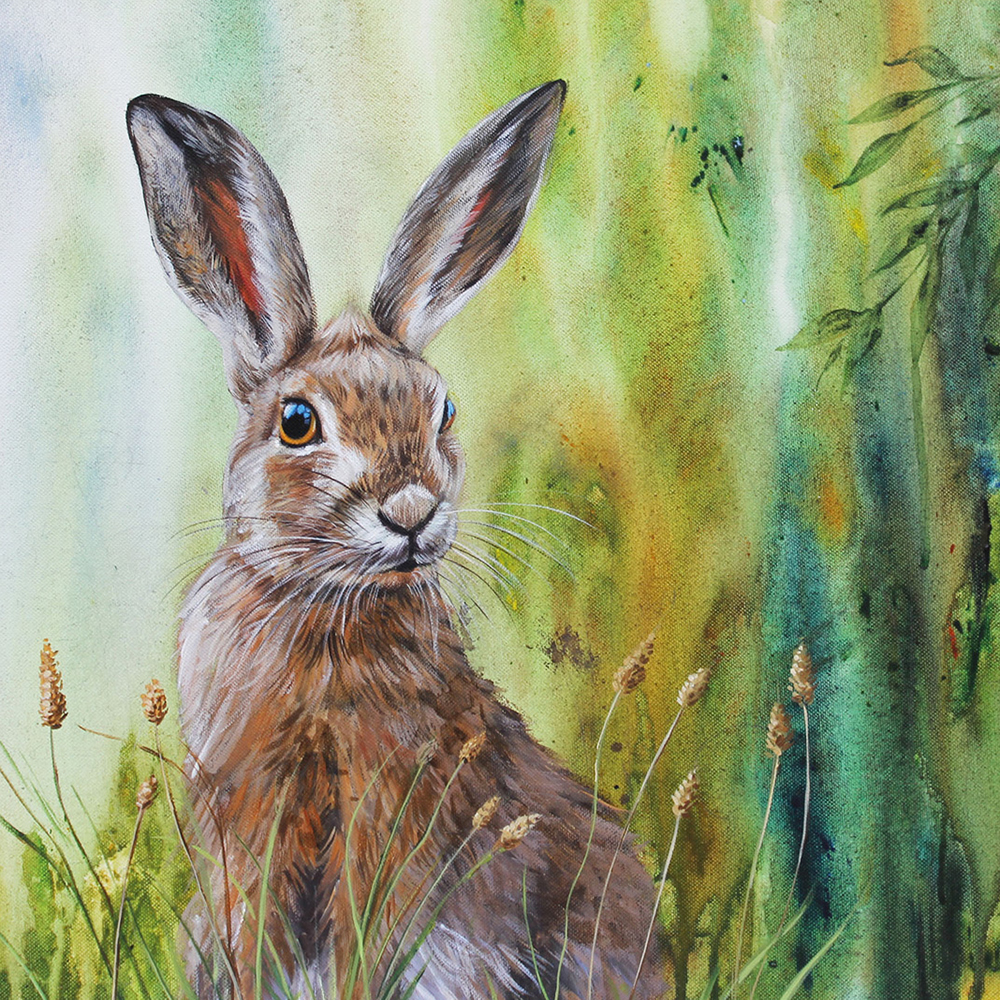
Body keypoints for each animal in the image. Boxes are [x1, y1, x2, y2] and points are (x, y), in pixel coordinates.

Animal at [127, 82, 665, 1000]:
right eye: (297, 422)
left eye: (442, 410)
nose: (413, 511)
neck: (322, 604)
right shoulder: (247, 821)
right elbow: (255, 928)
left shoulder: (394, 812)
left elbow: (368, 932)